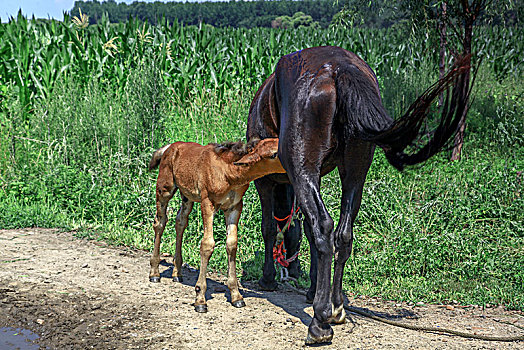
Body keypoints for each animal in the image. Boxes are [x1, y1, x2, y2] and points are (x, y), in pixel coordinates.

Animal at [147, 138, 286, 314]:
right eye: (274, 154)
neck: (229, 173)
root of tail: (169, 147)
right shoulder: (207, 203)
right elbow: (207, 244)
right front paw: (200, 298)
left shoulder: (234, 206)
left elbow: (232, 244)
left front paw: (236, 295)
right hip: (165, 188)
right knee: (160, 222)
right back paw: (154, 272)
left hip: (187, 195)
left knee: (180, 221)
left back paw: (177, 272)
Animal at [246, 45, 470, 344]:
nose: (291, 271)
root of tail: (340, 69)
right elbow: (306, 231)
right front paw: (312, 287)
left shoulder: (266, 181)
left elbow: (271, 227)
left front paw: (268, 278)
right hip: (355, 170)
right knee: (342, 235)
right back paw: (336, 306)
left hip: (303, 167)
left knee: (323, 228)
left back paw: (320, 321)